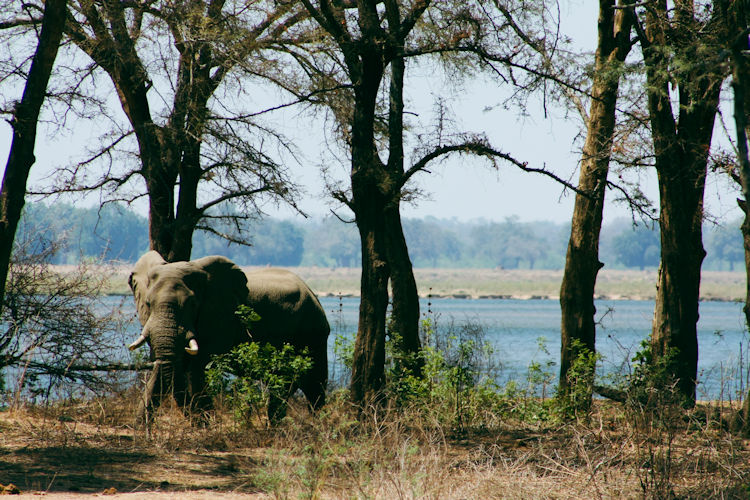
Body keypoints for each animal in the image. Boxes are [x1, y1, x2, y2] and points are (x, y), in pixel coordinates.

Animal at [127, 251, 330, 425]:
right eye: (147, 303)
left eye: (192, 304)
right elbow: (166, 367)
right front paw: (140, 428)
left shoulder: (220, 319)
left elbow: (197, 367)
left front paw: (206, 426)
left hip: (313, 334)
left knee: (312, 386)